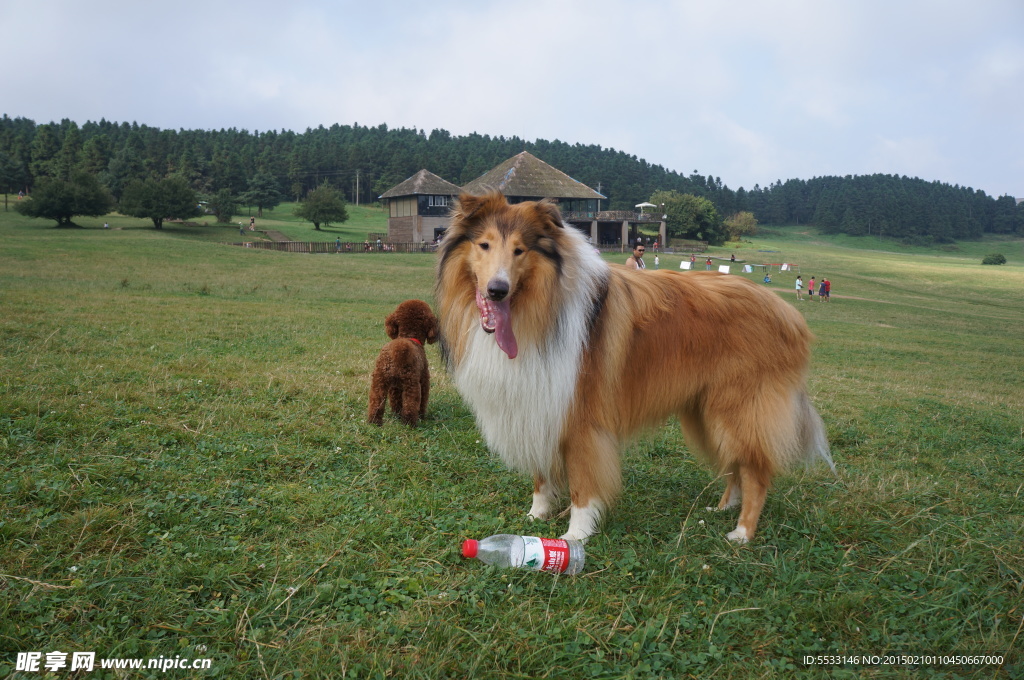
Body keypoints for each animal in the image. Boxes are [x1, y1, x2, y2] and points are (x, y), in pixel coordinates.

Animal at [438, 191, 831, 540]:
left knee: (756, 472)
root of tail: (789, 313)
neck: (539, 309)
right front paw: (536, 516)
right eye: (484, 245)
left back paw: (742, 532)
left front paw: (575, 536)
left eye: (520, 250)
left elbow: (583, 485)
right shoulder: (537, 404)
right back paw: (721, 508)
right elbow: (542, 475)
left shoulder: (581, 420)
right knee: (736, 466)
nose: (497, 290)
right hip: (707, 412)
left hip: (737, 411)